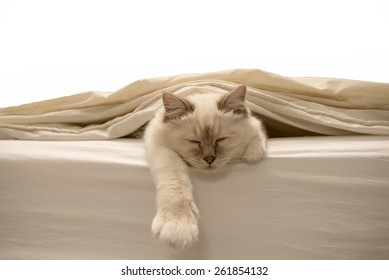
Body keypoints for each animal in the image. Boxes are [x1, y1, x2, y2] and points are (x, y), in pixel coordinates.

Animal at [143, 85, 266, 249]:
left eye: (221, 139)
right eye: (194, 141)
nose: (209, 159)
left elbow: (258, 133)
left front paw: (253, 153)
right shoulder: (160, 148)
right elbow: (175, 182)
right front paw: (178, 229)